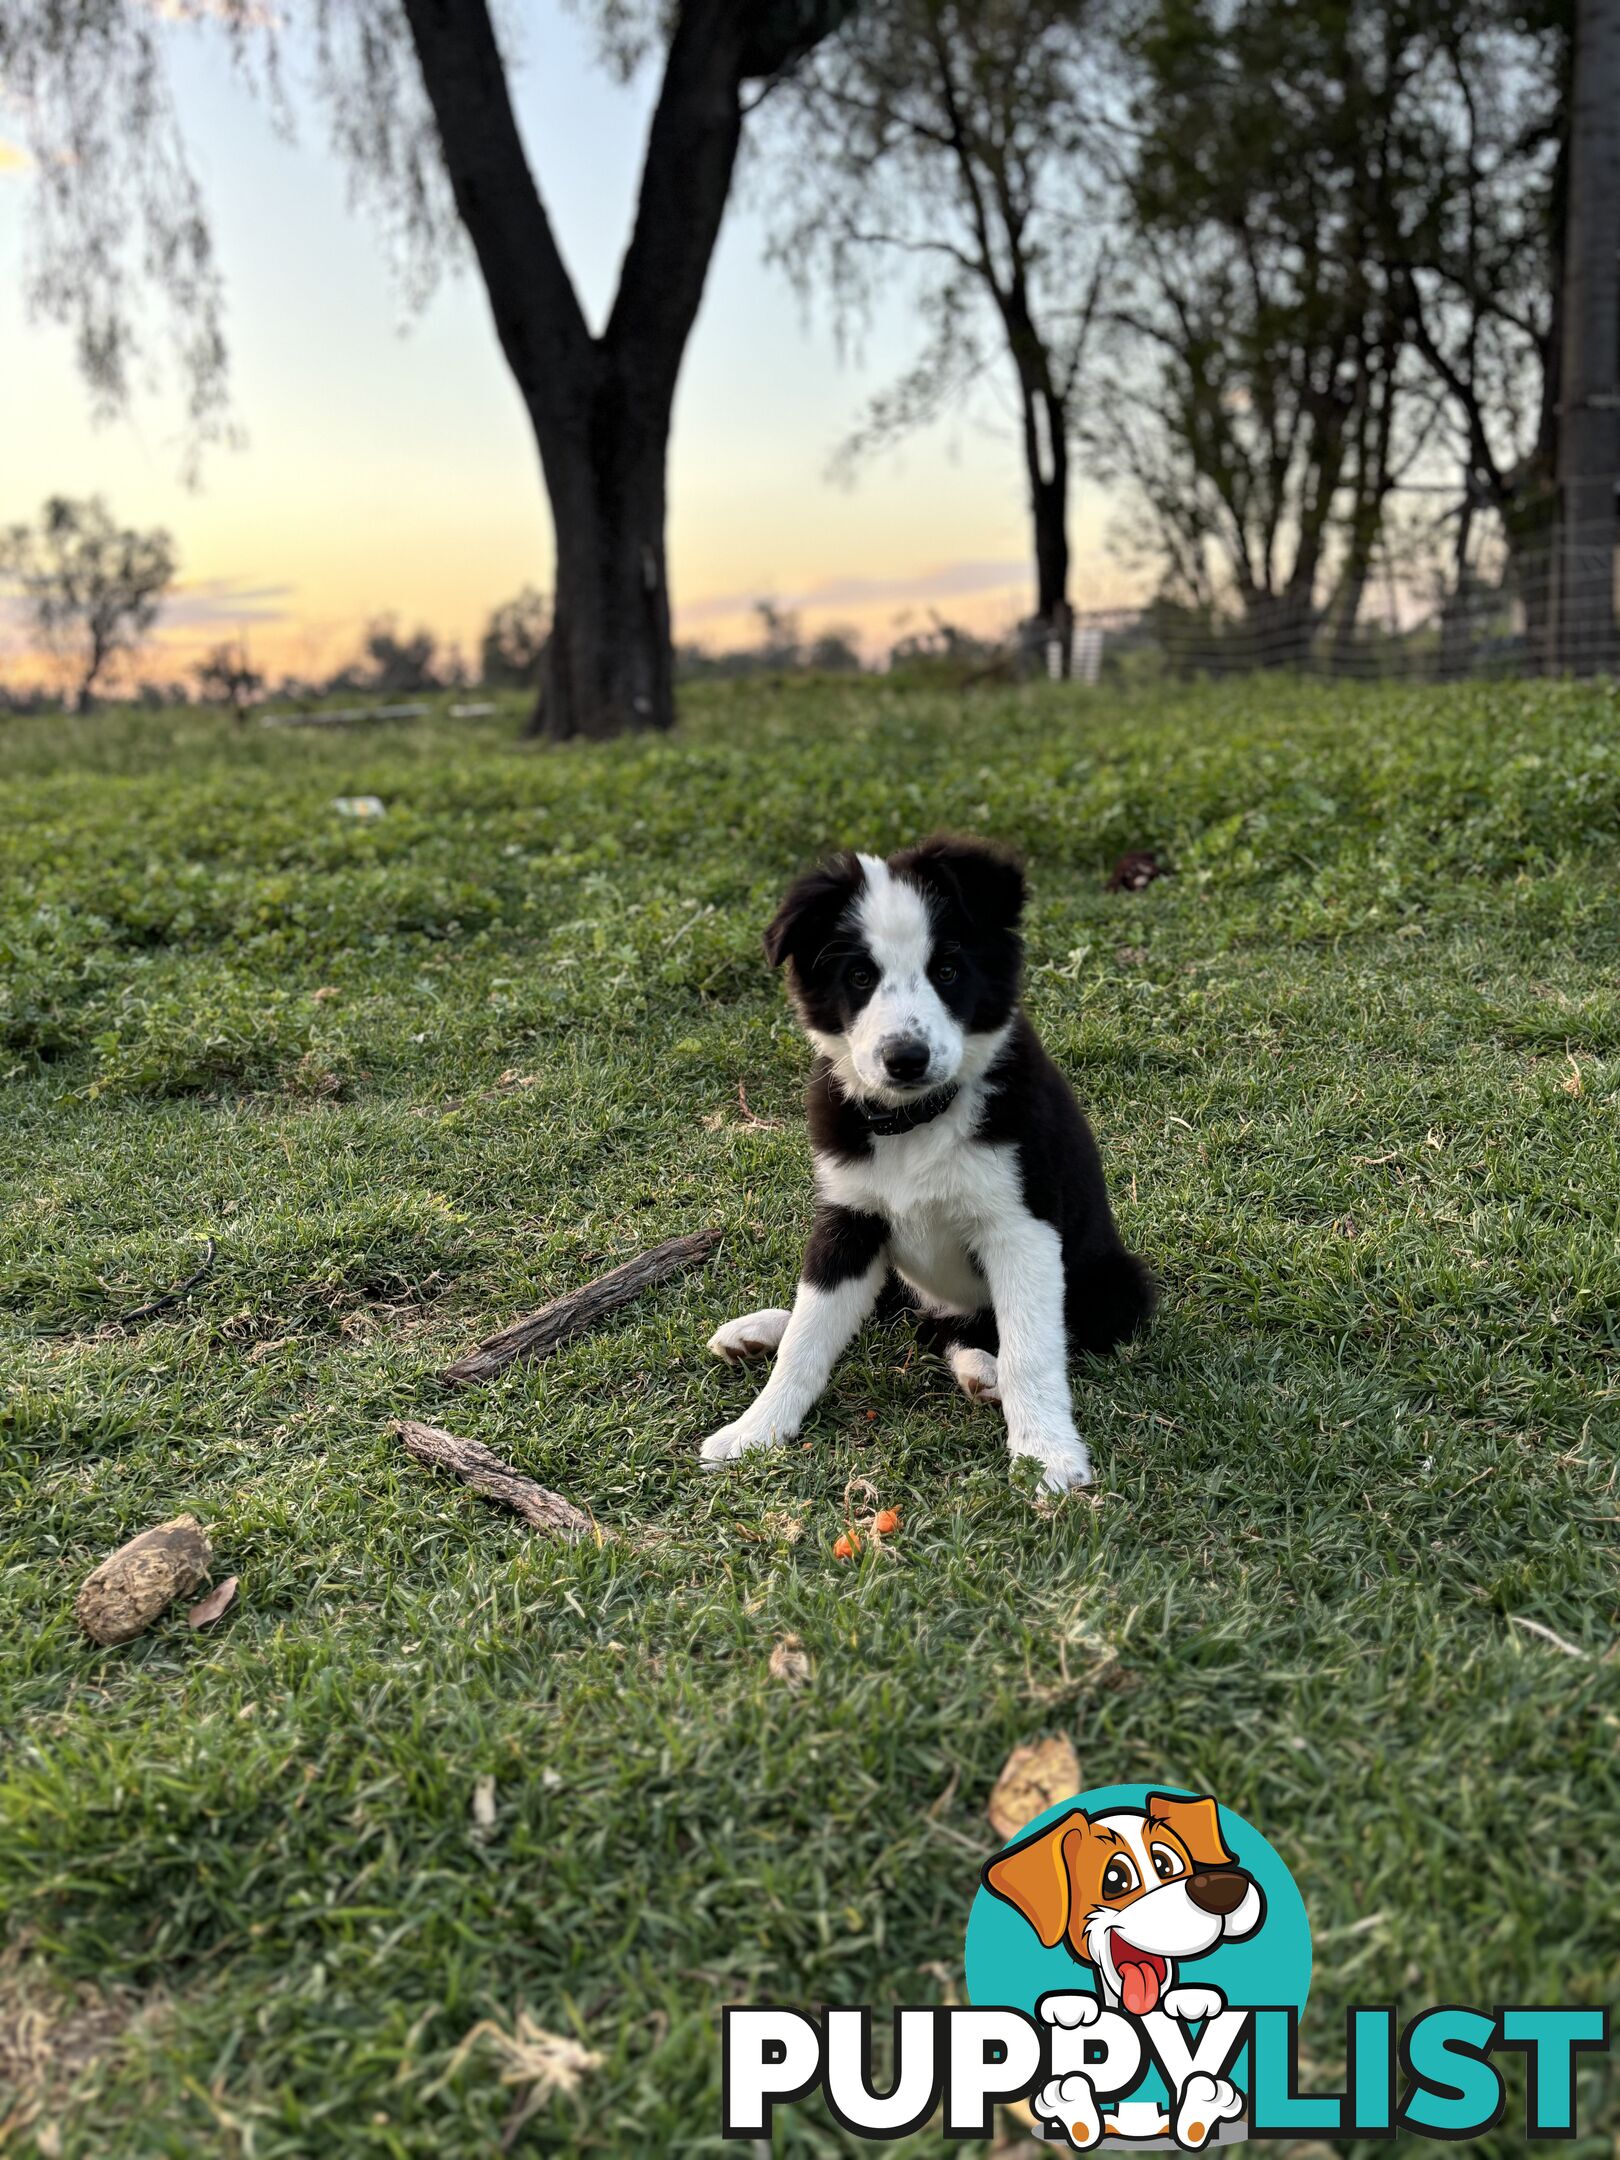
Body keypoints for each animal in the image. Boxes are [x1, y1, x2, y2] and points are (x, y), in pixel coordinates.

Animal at [704, 833, 1157, 1494]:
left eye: (946, 970)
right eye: (859, 976)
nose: (905, 1059)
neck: (915, 1119)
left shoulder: (1021, 1229)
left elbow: (1031, 1351)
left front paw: (1046, 1455)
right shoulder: (849, 1218)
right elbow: (812, 1334)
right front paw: (755, 1430)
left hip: (1114, 1284)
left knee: (968, 1332)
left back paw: (981, 1369)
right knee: (893, 1312)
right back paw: (759, 1330)